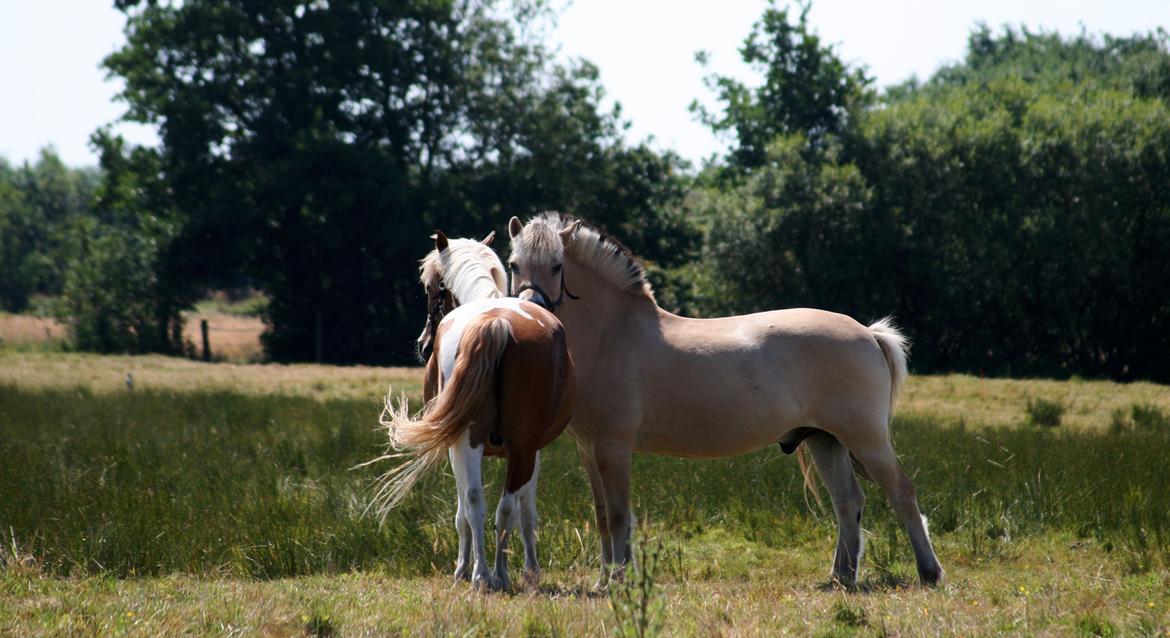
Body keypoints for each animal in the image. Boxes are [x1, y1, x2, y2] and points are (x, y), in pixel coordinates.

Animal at [369, 231, 575, 590]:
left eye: (431, 288)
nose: (424, 344)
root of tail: (497, 323)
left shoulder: (461, 446)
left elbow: (466, 510)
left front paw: (464, 568)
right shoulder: (528, 449)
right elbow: (521, 510)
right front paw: (526, 569)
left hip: (476, 442)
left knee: (480, 503)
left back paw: (482, 574)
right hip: (514, 446)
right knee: (502, 506)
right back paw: (497, 574)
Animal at [507, 213, 945, 587]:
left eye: (557, 266)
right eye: (513, 265)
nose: (531, 310)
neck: (615, 334)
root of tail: (868, 332)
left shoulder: (614, 447)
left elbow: (617, 515)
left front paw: (619, 580)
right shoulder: (589, 449)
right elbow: (601, 515)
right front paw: (604, 580)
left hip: (866, 439)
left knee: (902, 494)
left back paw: (929, 572)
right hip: (826, 440)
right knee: (847, 502)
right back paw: (842, 576)